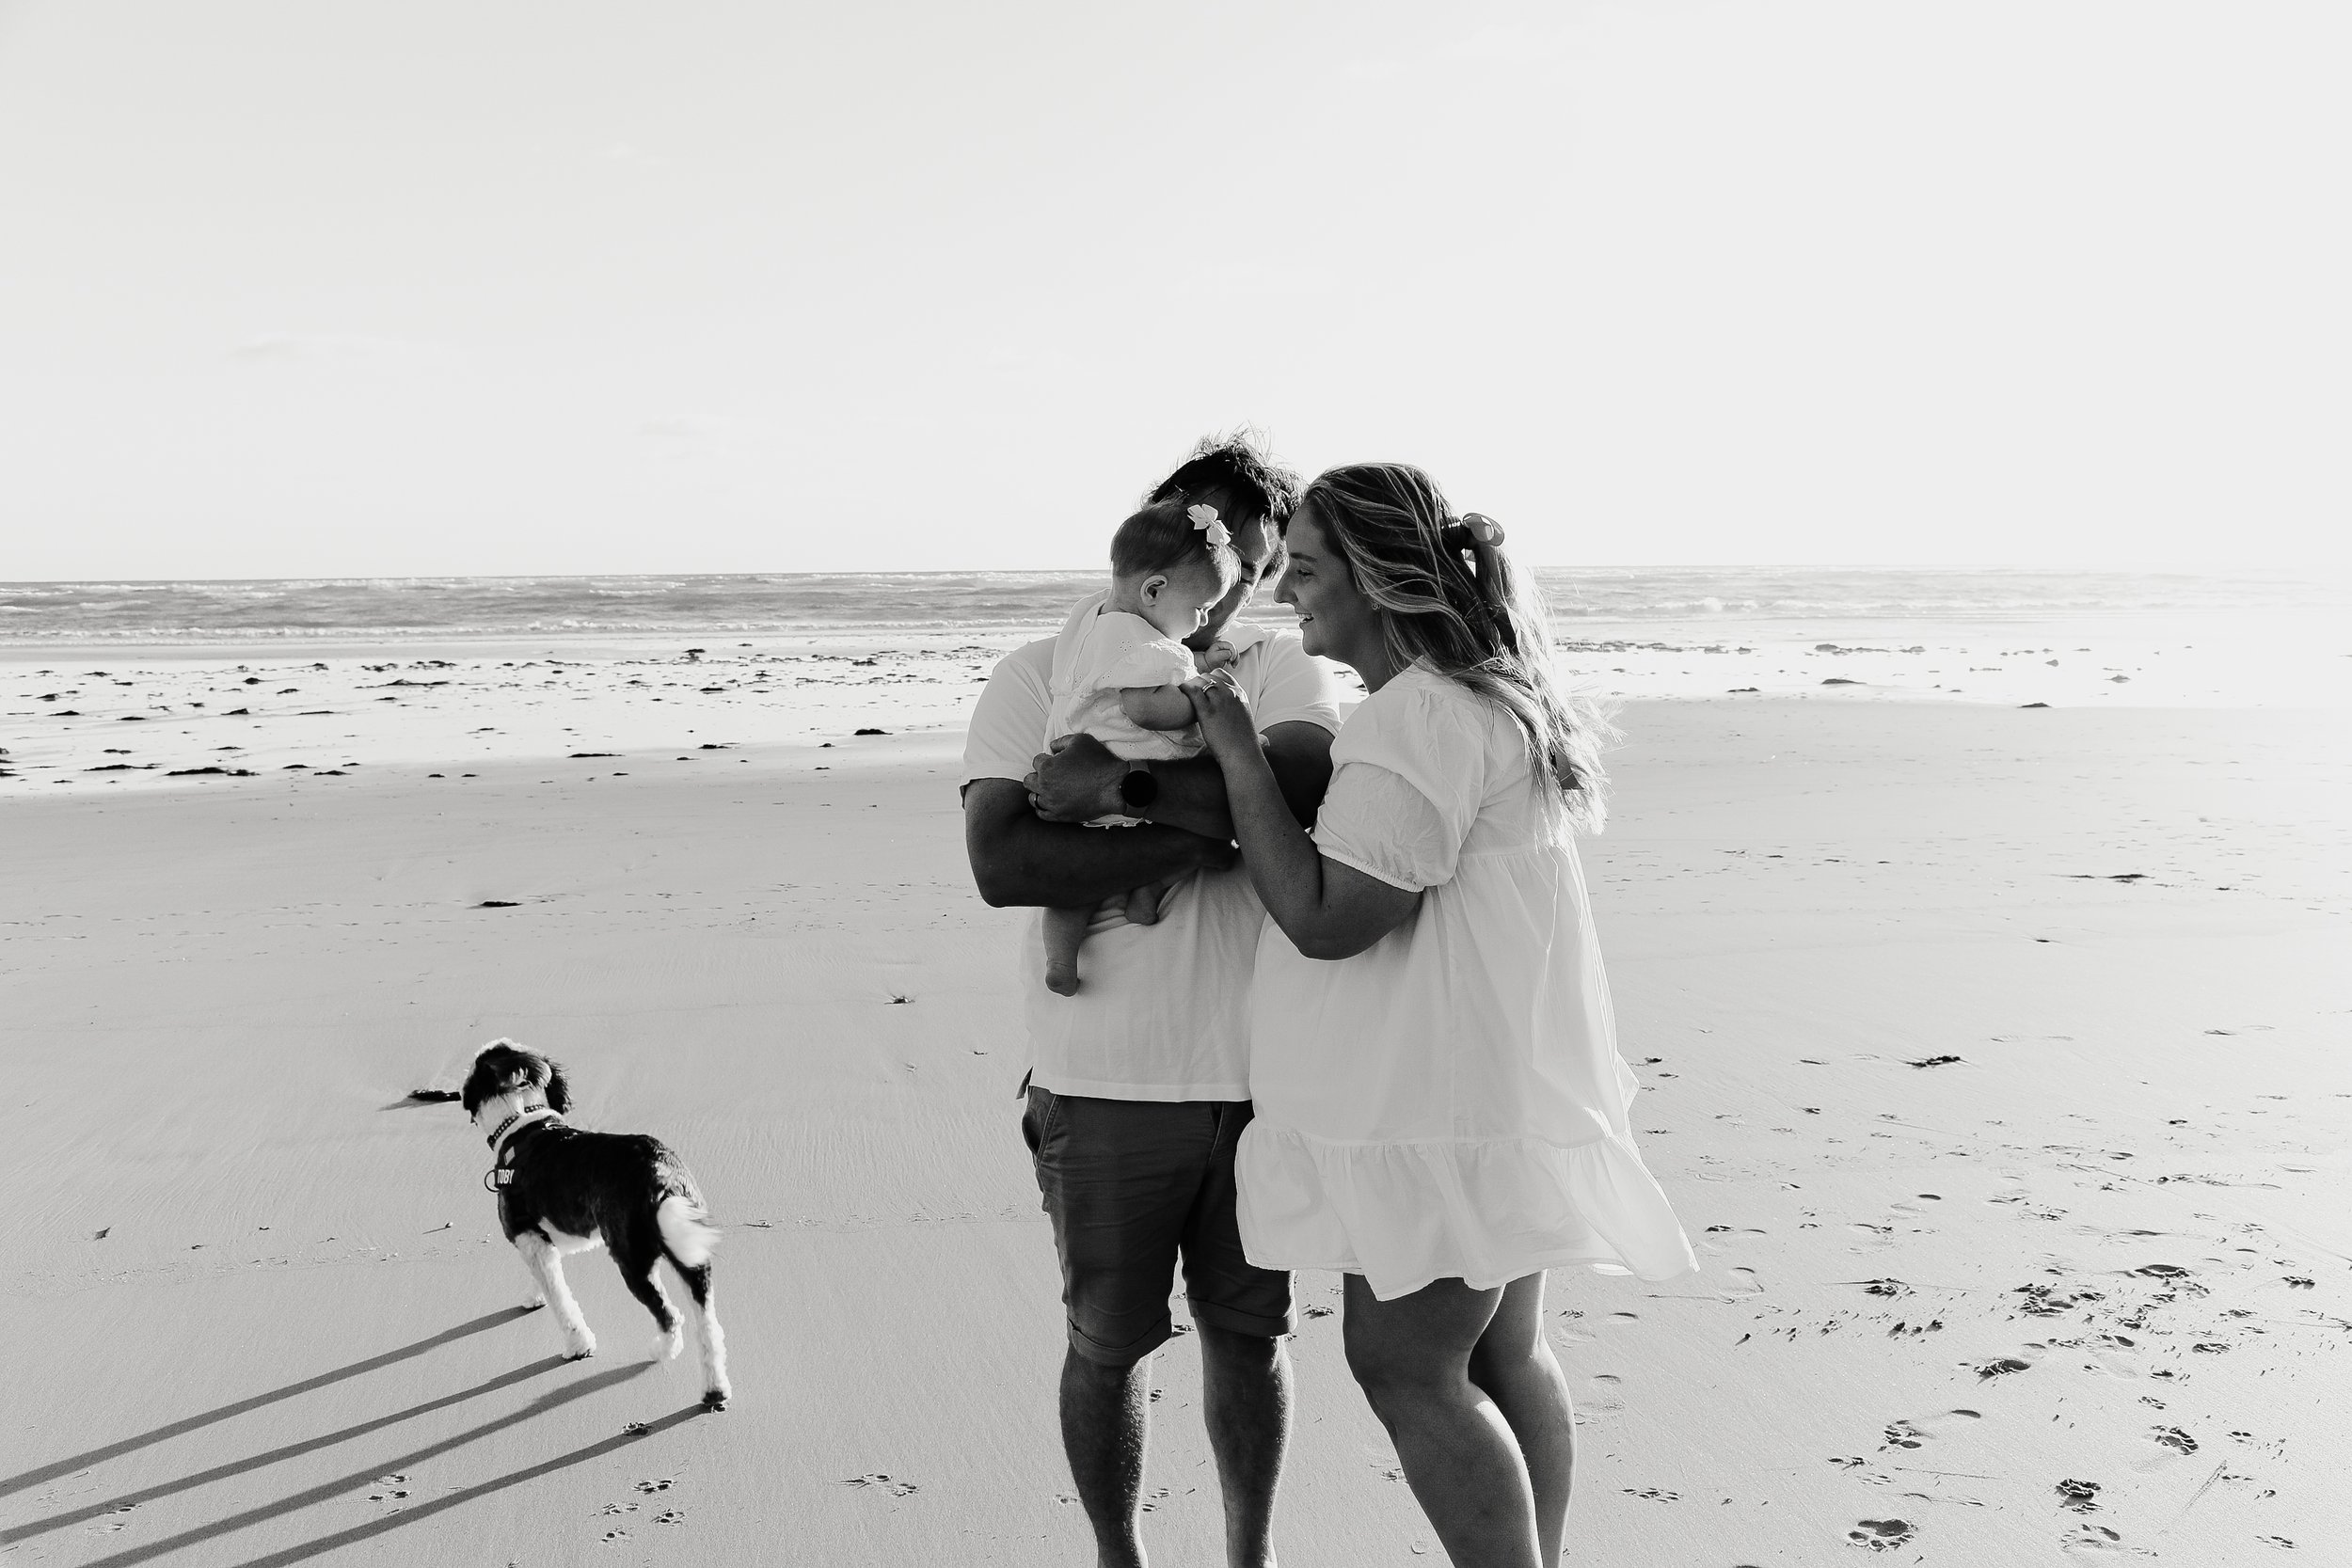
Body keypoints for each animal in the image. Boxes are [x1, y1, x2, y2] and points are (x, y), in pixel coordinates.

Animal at [459, 1039, 732, 1409]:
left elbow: (562, 1300)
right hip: (691, 1252)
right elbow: (546, 1278)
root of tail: (660, 1173)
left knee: (670, 1316)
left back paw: (660, 1352)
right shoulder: (547, 1239)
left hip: (632, 1261)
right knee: (708, 1325)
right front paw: (535, 1295)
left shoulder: (530, 1237)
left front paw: (578, 1346)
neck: (522, 1120)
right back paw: (714, 1390)